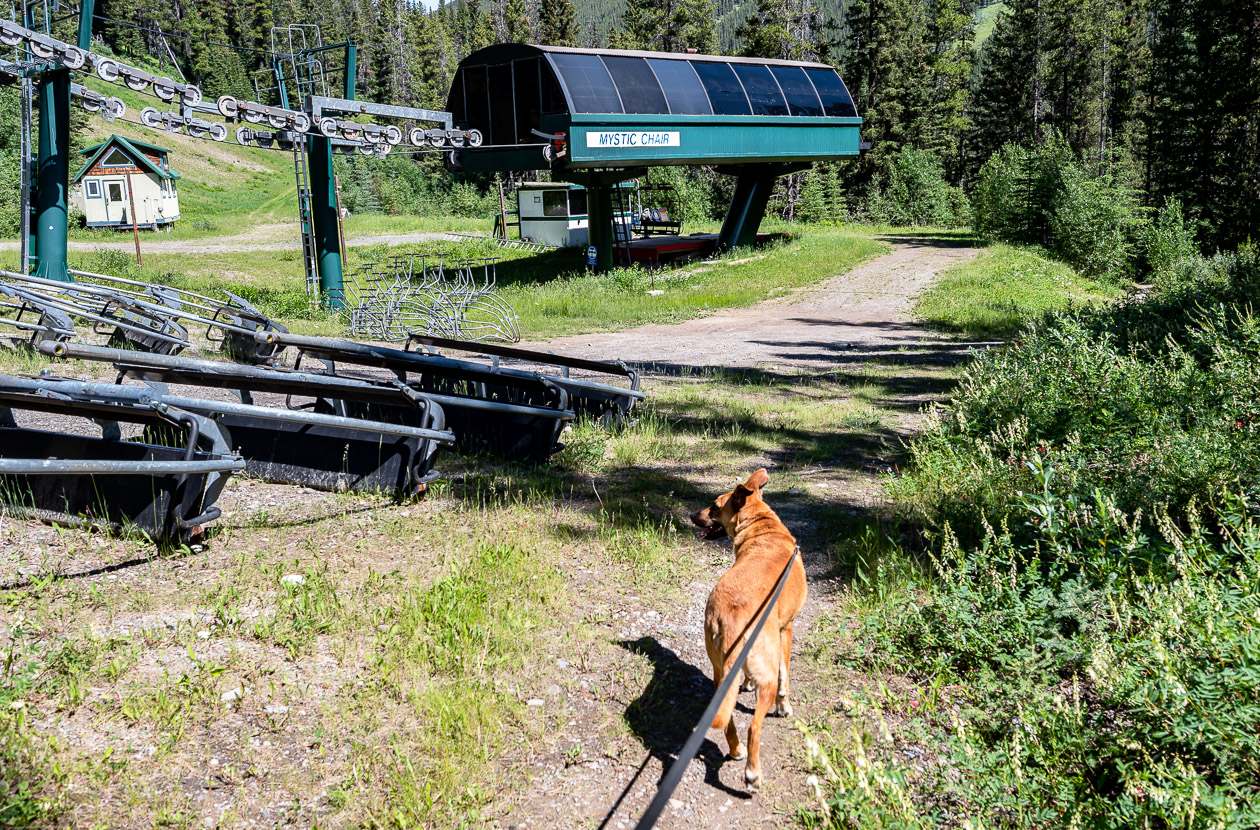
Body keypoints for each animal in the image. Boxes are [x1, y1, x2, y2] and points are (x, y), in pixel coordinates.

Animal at [690, 468, 806, 790]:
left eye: (714, 506)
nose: (691, 516)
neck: (762, 530)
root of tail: (729, 618)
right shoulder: (786, 629)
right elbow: (785, 675)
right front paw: (784, 707)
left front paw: (746, 683)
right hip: (765, 672)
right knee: (754, 726)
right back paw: (753, 772)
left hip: (719, 669)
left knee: (727, 716)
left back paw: (735, 750)